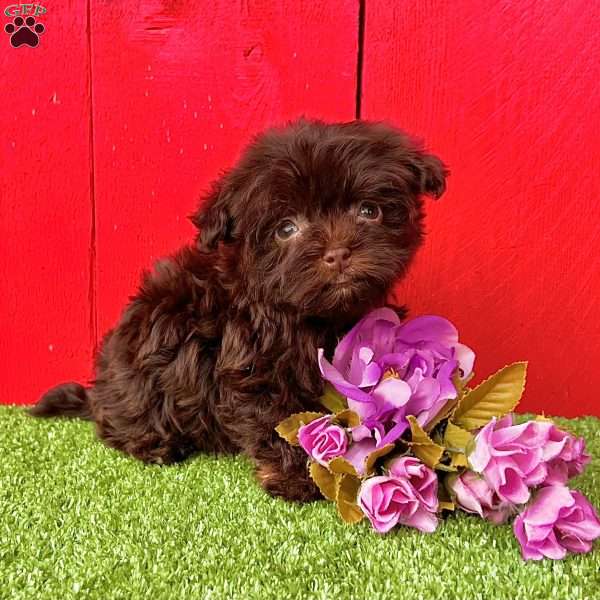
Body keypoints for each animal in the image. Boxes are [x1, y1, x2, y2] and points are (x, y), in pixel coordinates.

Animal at [32, 118, 446, 502]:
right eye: (286, 229)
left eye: (369, 210)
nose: (338, 252)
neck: (311, 316)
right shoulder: (251, 369)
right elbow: (279, 422)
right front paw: (296, 479)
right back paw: (154, 444)